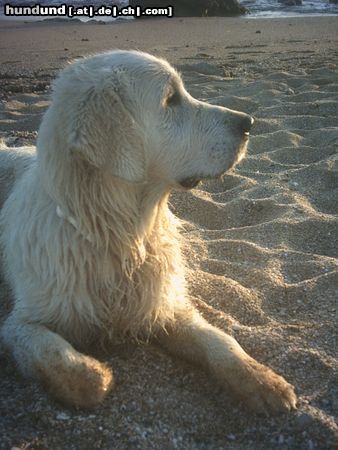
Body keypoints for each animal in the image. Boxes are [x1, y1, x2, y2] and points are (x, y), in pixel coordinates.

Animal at [0, 51, 296, 414]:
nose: (249, 122)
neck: (121, 234)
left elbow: (219, 340)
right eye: (171, 99)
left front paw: (262, 379)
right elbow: (63, 362)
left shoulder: (164, 304)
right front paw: (92, 373)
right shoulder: (21, 322)